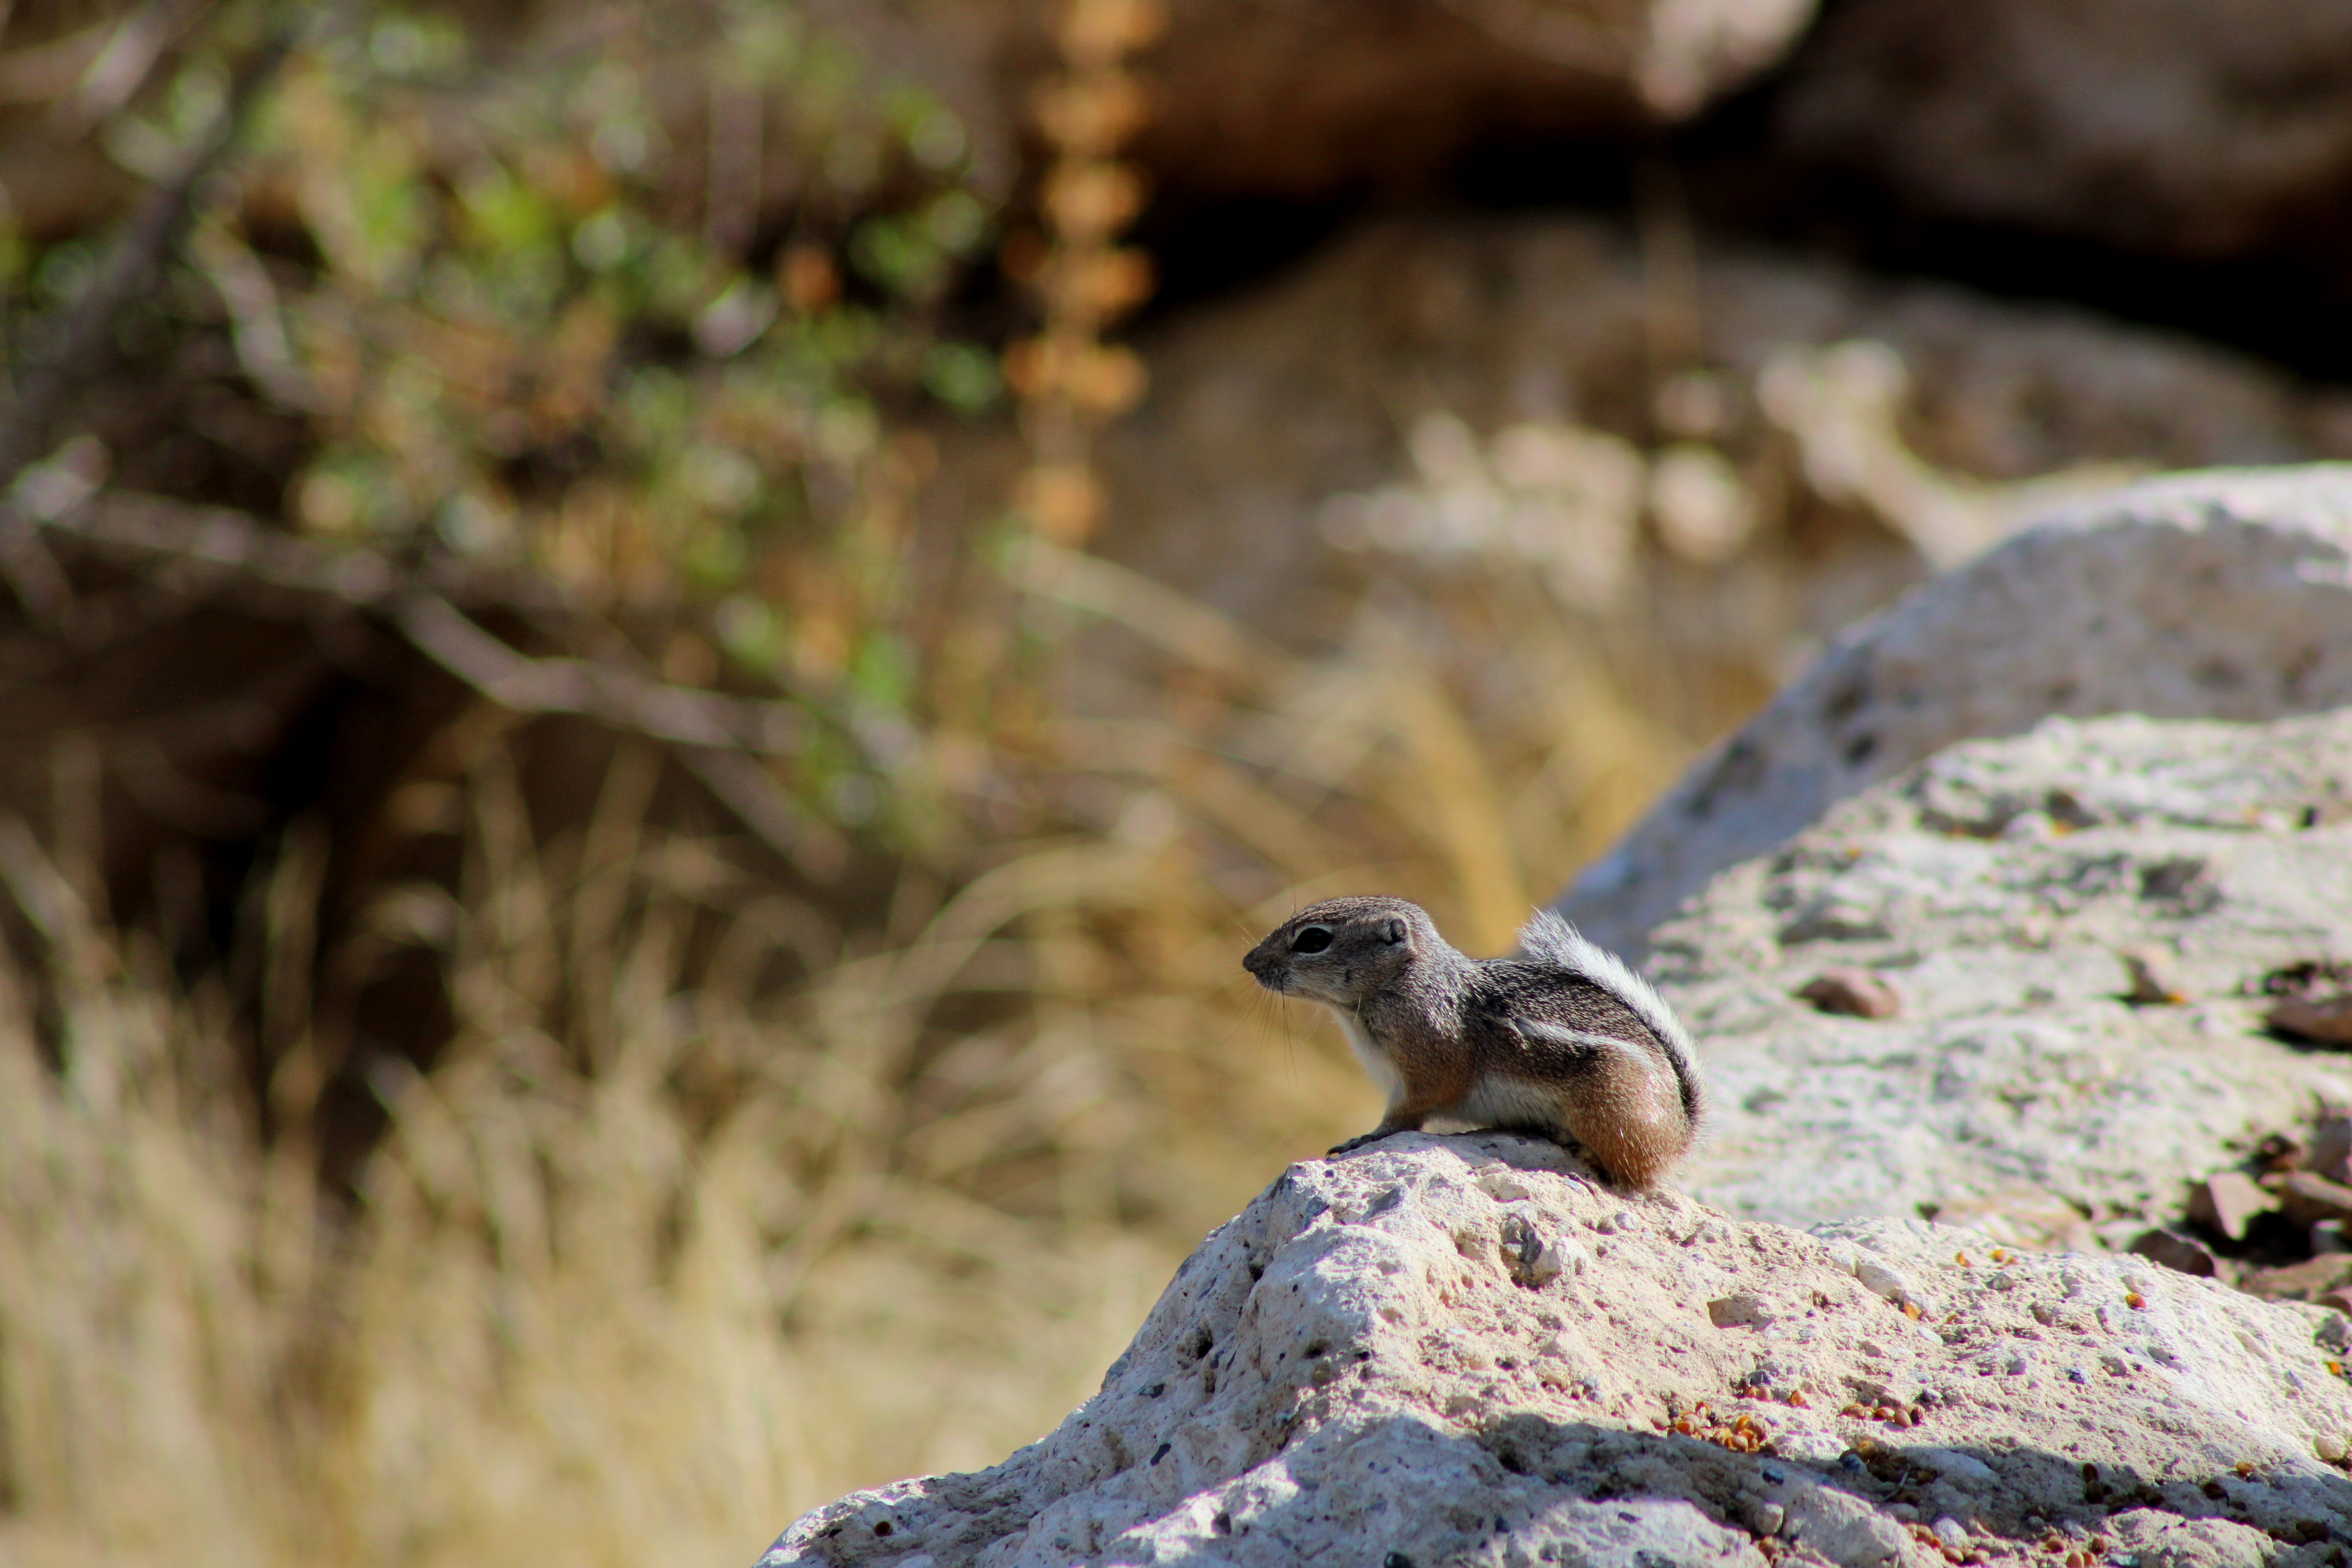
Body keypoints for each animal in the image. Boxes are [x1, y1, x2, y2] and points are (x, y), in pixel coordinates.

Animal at [1242, 896, 1703, 1190]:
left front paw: (1362, 1139)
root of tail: (1682, 1132)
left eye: (1313, 940)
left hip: (1611, 1110)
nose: (1248, 962)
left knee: (1638, 1180)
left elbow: (1403, 1119)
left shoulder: (1427, 1071)